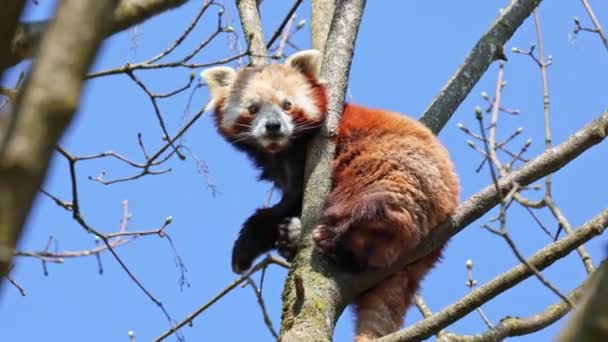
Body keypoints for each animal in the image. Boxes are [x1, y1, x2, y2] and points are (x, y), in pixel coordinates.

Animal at [202, 49, 458, 340]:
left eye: (287, 104)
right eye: (253, 108)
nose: (273, 125)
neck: (280, 150)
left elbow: (291, 201)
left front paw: (252, 238)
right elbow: (285, 206)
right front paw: (248, 246)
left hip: (397, 171)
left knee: (374, 203)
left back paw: (335, 234)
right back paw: (294, 237)